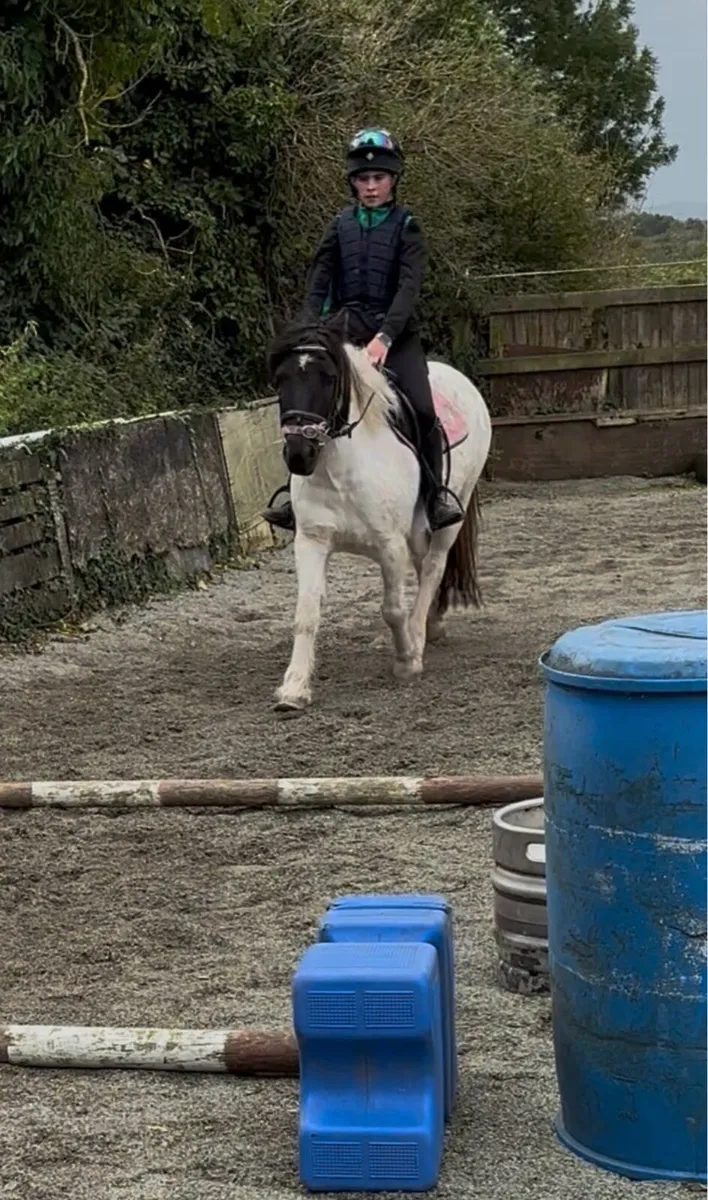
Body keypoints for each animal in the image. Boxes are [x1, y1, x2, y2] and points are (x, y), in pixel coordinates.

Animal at [266, 315, 492, 713]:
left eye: (328, 379)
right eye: (281, 380)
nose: (299, 454)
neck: (341, 469)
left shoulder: (389, 545)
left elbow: (393, 609)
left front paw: (406, 661)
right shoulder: (311, 540)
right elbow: (306, 613)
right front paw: (293, 689)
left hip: (453, 515)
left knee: (433, 567)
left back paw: (418, 636)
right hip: (417, 531)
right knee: (424, 566)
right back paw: (431, 625)